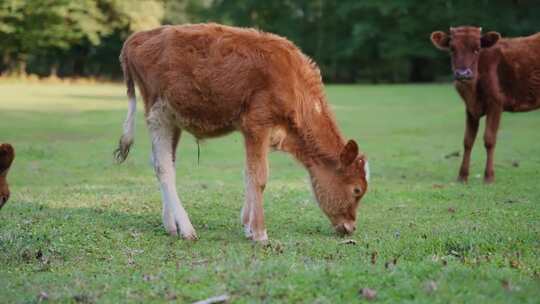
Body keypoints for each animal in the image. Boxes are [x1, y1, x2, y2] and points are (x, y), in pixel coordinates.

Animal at [115, 23, 370, 241]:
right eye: (357, 190)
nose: (351, 228)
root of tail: (140, 36)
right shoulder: (257, 123)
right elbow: (259, 177)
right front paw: (260, 233)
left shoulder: (259, 132)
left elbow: (248, 173)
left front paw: (247, 226)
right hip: (158, 113)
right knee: (163, 167)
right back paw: (186, 229)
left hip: (172, 119)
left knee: (166, 161)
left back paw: (170, 225)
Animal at [432, 26, 540, 183]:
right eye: (452, 48)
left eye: (477, 49)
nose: (463, 73)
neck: (472, 91)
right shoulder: (470, 108)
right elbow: (468, 140)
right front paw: (462, 176)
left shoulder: (496, 103)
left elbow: (489, 139)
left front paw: (489, 177)